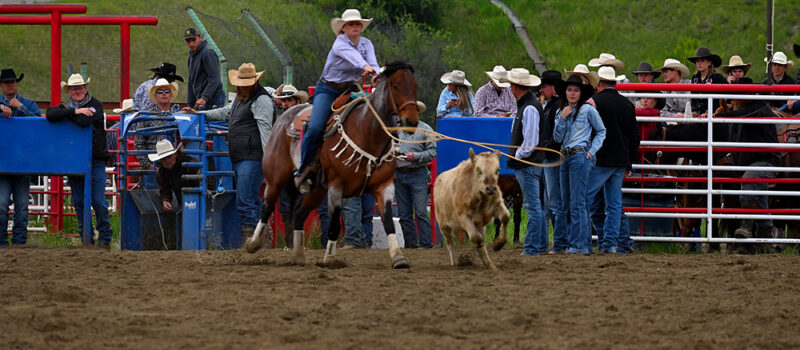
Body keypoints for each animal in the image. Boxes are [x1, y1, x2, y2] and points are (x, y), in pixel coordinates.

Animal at [244, 60, 418, 268]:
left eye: (415, 86)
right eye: (395, 86)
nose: (411, 120)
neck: (366, 131)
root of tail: (283, 118)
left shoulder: (385, 186)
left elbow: (388, 222)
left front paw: (399, 258)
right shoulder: (336, 186)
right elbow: (334, 224)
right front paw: (330, 259)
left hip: (317, 190)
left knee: (299, 214)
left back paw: (298, 255)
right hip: (276, 178)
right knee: (267, 206)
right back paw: (253, 244)